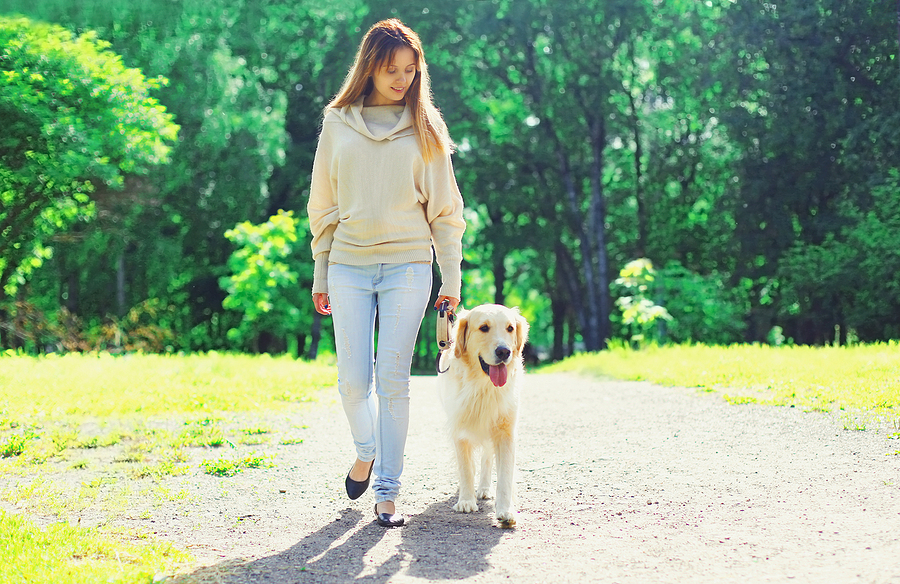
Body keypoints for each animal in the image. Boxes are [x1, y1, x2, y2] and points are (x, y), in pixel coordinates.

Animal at [436, 304, 528, 528]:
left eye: (510, 328)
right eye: (484, 328)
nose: (504, 351)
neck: (483, 386)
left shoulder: (505, 432)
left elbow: (505, 474)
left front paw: (505, 510)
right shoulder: (459, 431)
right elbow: (466, 468)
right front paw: (466, 501)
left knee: (487, 458)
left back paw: (485, 489)